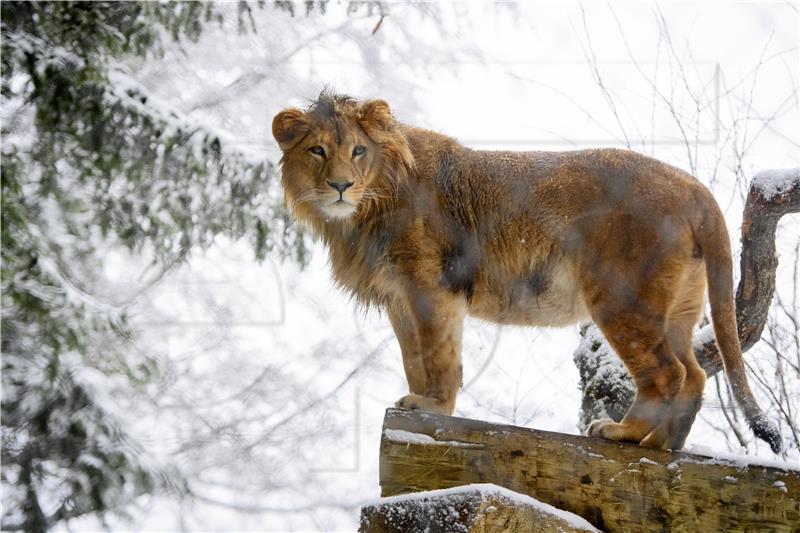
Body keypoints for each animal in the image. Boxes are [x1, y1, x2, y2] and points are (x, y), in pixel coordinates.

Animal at [274, 92, 780, 454]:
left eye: (358, 151)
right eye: (317, 150)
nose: (340, 185)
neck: (363, 211)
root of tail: (696, 189)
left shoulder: (432, 286)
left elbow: (439, 355)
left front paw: (434, 406)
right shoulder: (398, 296)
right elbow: (413, 357)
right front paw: (416, 401)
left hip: (621, 297)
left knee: (667, 373)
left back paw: (625, 433)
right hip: (678, 305)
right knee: (694, 374)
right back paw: (663, 444)